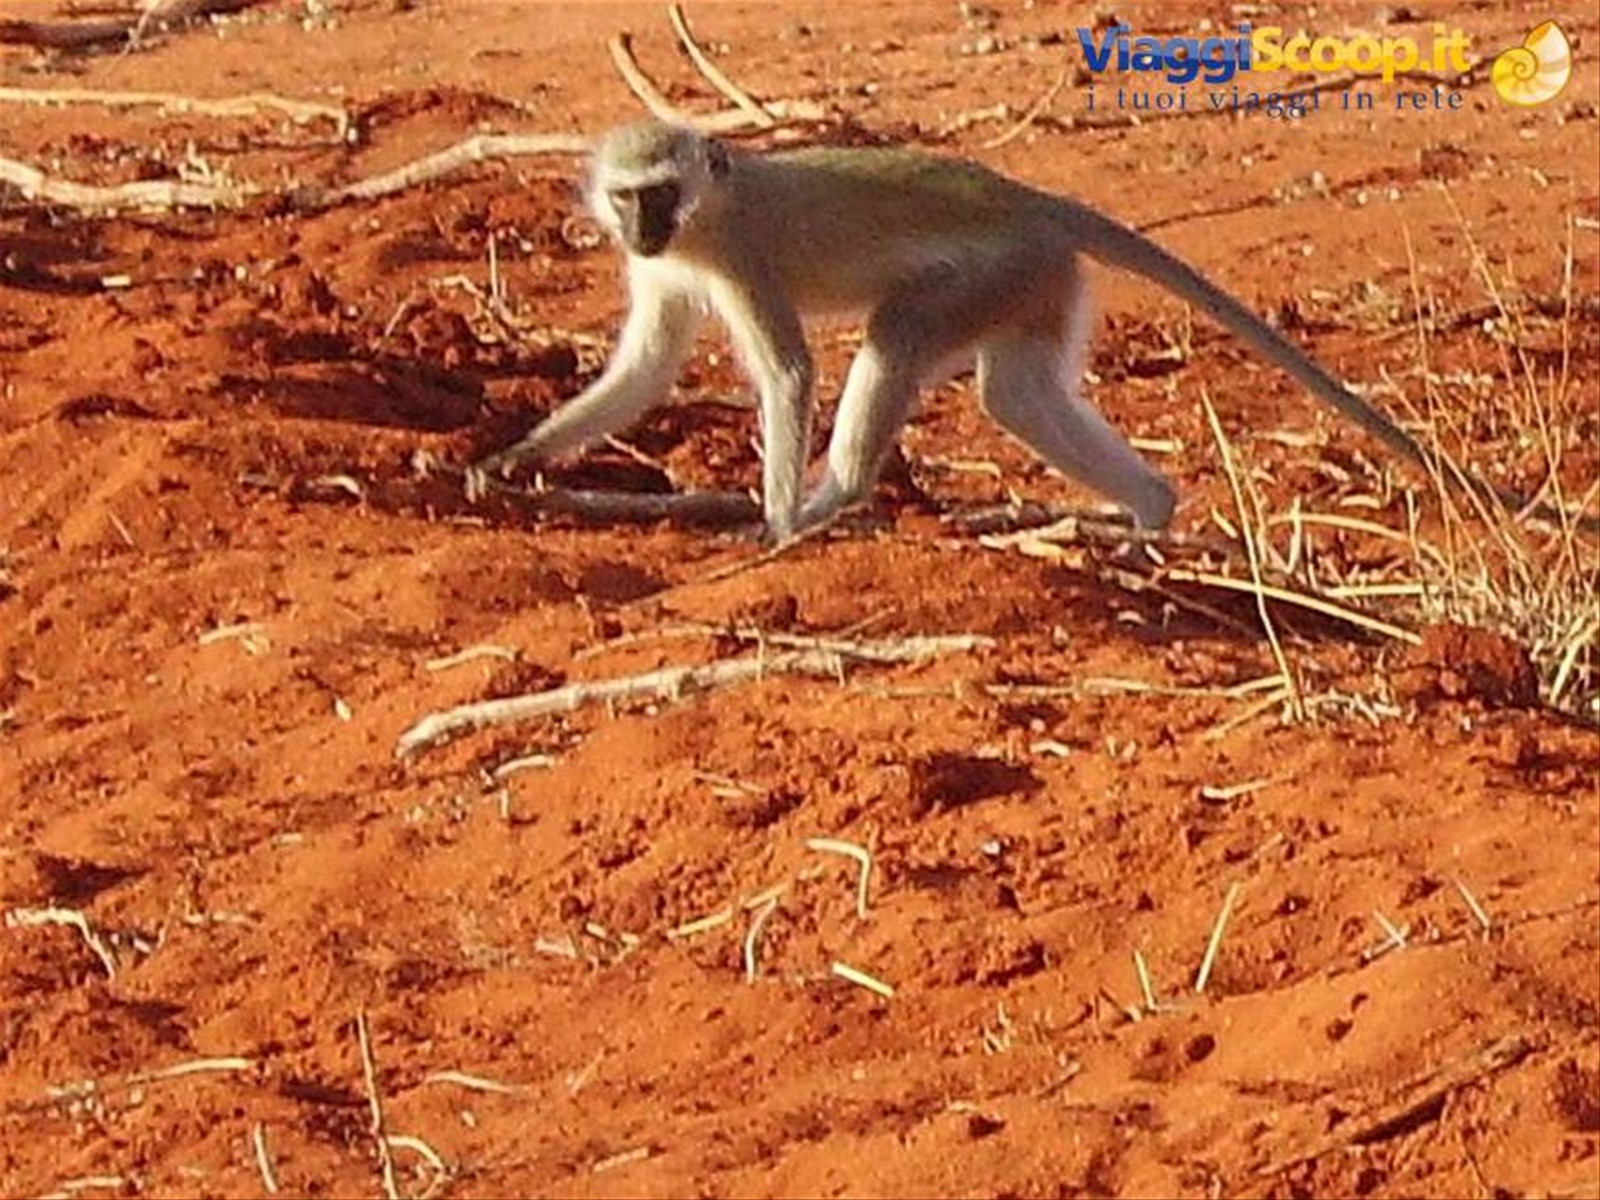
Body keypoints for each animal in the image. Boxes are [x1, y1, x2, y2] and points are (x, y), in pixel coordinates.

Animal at [475, 119, 1592, 541]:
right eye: (629, 197)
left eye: (661, 191)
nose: (643, 224)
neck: (706, 212)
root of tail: (1036, 200)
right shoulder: (662, 271)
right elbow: (646, 368)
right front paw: (511, 459)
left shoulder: (739, 253)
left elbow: (787, 370)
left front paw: (779, 520)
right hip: (1039, 282)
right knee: (1016, 393)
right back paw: (1146, 513)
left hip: (994, 270)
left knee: (895, 340)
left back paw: (839, 500)